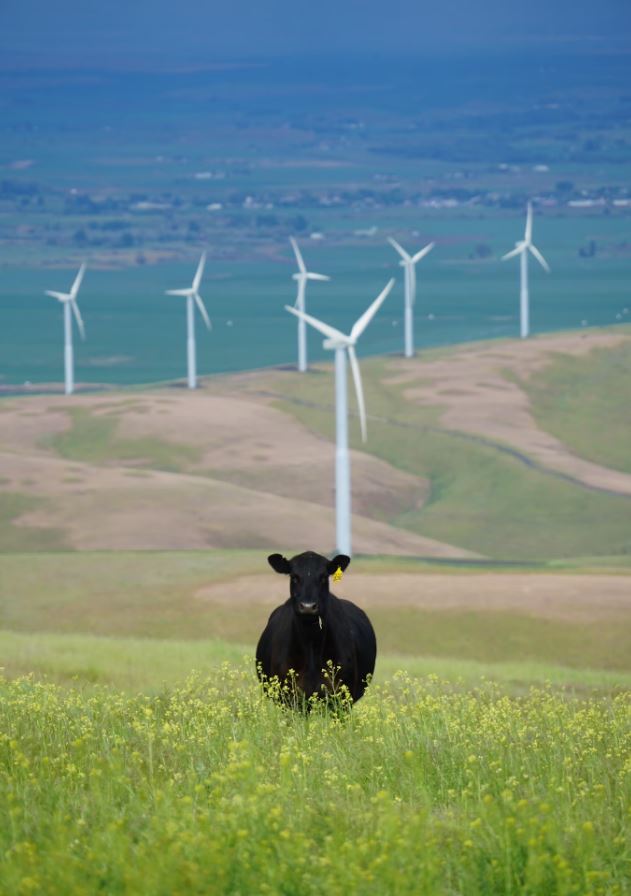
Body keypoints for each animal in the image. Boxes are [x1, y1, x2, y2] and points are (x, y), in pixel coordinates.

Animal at [256, 548, 376, 712]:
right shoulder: (288, 699)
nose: (308, 606)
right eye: (294, 577)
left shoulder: (342, 698)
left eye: (324, 577)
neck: (311, 643)